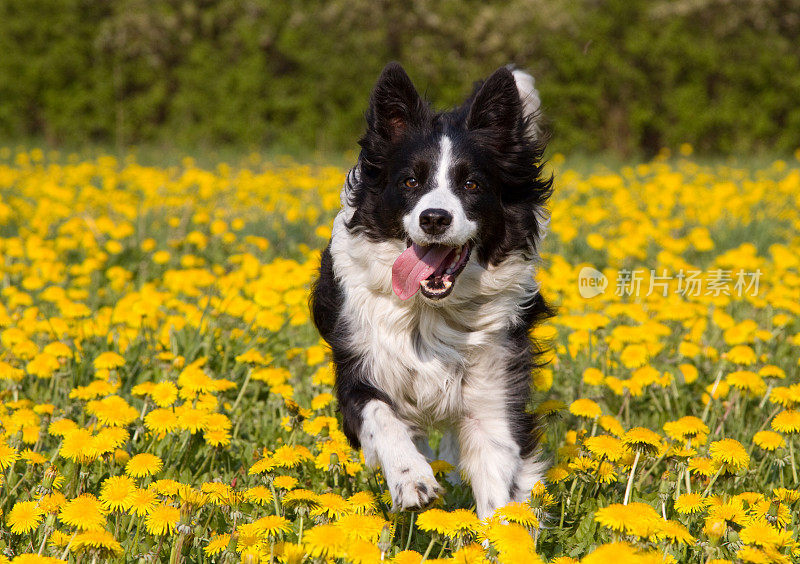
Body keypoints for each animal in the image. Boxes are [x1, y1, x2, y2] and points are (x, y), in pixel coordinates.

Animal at [310, 62, 552, 520]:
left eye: (472, 185)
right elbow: (381, 416)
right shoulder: (359, 365)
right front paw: (412, 480)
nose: (435, 218)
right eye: (410, 181)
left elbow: (497, 479)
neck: (431, 311)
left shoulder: (494, 384)